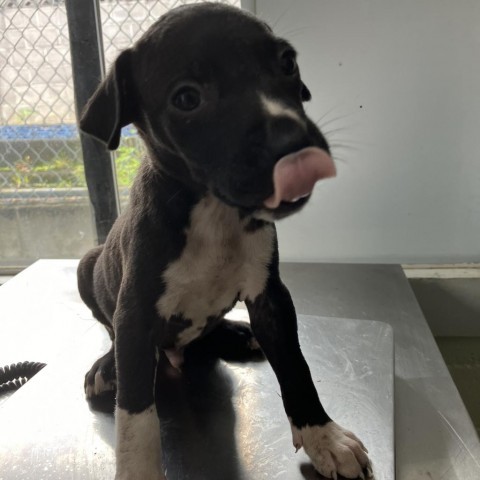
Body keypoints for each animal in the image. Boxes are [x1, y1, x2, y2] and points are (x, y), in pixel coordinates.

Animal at [78, 4, 372, 480]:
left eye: (287, 62)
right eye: (186, 99)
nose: (296, 148)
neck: (213, 212)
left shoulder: (271, 296)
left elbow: (296, 366)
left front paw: (324, 436)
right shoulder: (135, 314)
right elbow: (137, 416)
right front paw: (138, 466)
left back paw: (236, 333)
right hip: (89, 266)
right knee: (112, 335)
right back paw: (108, 367)